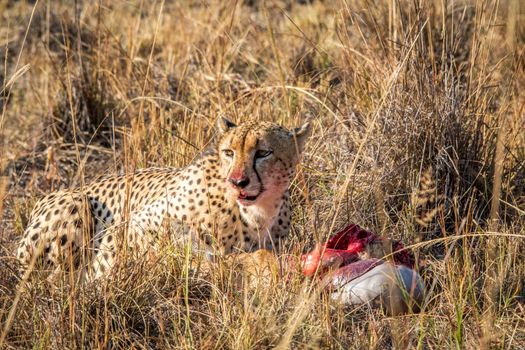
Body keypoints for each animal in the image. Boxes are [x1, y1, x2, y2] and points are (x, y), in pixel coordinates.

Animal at [16, 119, 310, 280]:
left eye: (263, 153)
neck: (258, 211)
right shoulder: (134, 227)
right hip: (75, 203)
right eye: (229, 152)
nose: (237, 181)